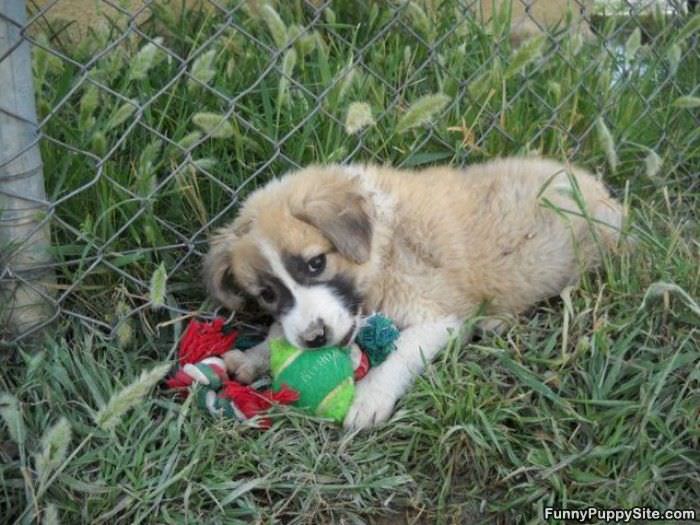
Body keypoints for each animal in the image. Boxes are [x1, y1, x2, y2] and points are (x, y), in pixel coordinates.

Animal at [202, 158, 624, 428]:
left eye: (316, 263)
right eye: (268, 294)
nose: (316, 338)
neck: (384, 241)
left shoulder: (440, 318)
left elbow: (400, 354)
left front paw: (368, 398)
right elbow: (279, 332)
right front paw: (255, 356)